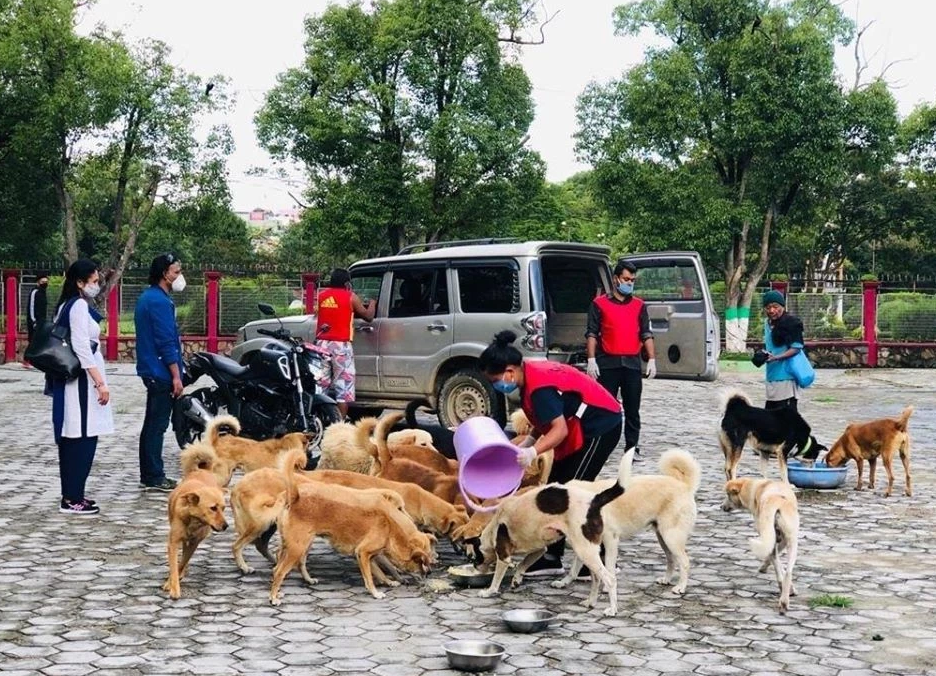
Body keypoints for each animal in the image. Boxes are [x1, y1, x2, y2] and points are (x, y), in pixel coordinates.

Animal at [161, 446, 227, 600]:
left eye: (223, 508)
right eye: (213, 508)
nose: (226, 526)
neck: (193, 519)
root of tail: (203, 470)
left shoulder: (195, 542)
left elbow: (182, 562)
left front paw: (173, 580)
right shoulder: (173, 542)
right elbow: (174, 566)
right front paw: (172, 587)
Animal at [266, 454, 436, 604]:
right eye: (423, 562)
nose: (430, 572)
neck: (391, 527)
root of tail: (295, 496)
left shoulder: (366, 556)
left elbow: (379, 572)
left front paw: (389, 581)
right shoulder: (363, 552)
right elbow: (369, 578)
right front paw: (375, 593)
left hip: (299, 544)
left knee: (281, 566)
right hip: (298, 547)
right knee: (279, 571)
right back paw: (273, 597)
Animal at [478, 452, 632, 616]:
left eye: (472, 558)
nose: (476, 568)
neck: (493, 526)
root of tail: (594, 500)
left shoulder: (503, 556)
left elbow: (497, 578)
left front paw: (489, 591)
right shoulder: (539, 549)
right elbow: (523, 564)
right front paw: (516, 579)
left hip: (584, 550)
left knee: (610, 579)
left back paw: (612, 609)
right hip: (588, 551)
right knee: (597, 577)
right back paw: (591, 602)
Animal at [560, 448, 700, 604]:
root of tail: (684, 485)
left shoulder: (610, 541)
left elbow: (608, 568)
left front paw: (607, 588)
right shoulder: (585, 544)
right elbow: (574, 568)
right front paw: (564, 582)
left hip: (671, 538)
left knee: (685, 561)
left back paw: (681, 587)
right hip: (663, 538)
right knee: (671, 559)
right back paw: (666, 579)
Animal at [720, 478, 800, 616]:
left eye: (728, 495)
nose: (721, 507)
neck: (755, 487)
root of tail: (777, 500)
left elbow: (774, 559)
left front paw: (763, 567)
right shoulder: (782, 540)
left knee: (776, 563)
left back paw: (782, 590)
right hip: (792, 541)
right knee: (788, 571)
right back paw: (785, 600)